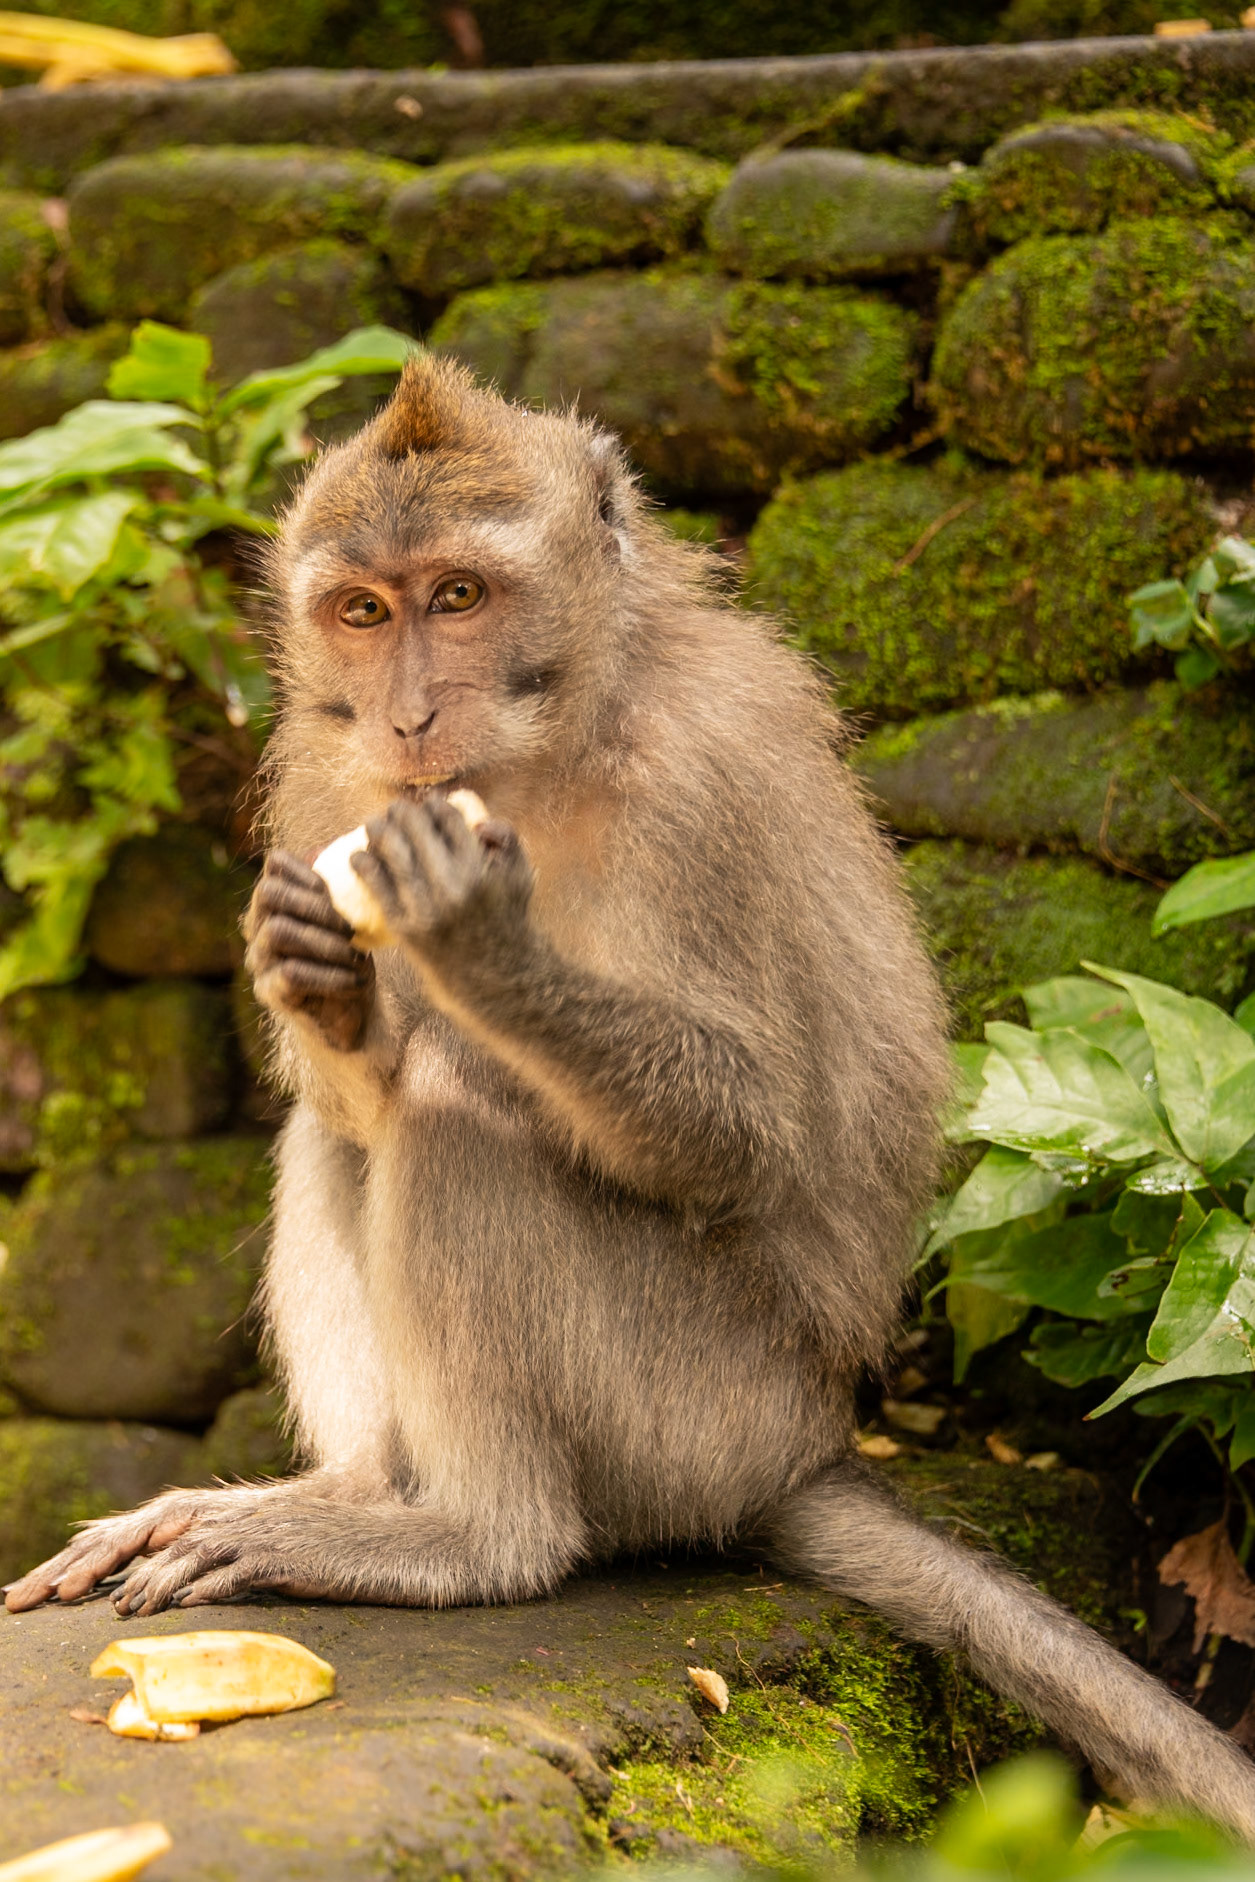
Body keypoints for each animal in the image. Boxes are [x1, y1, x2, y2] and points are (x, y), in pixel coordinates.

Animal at [9, 354, 1255, 1841]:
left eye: (459, 597)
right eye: (363, 611)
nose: (408, 715)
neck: (541, 748)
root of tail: (803, 1448)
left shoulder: (691, 787)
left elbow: (738, 1126)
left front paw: (483, 945)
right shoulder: (324, 775)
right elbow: (353, 1082)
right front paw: (319, 980)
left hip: (691, 1413)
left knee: (456, 1113)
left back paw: (473, 1540)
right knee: (359, 1124)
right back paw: (359, 1488)